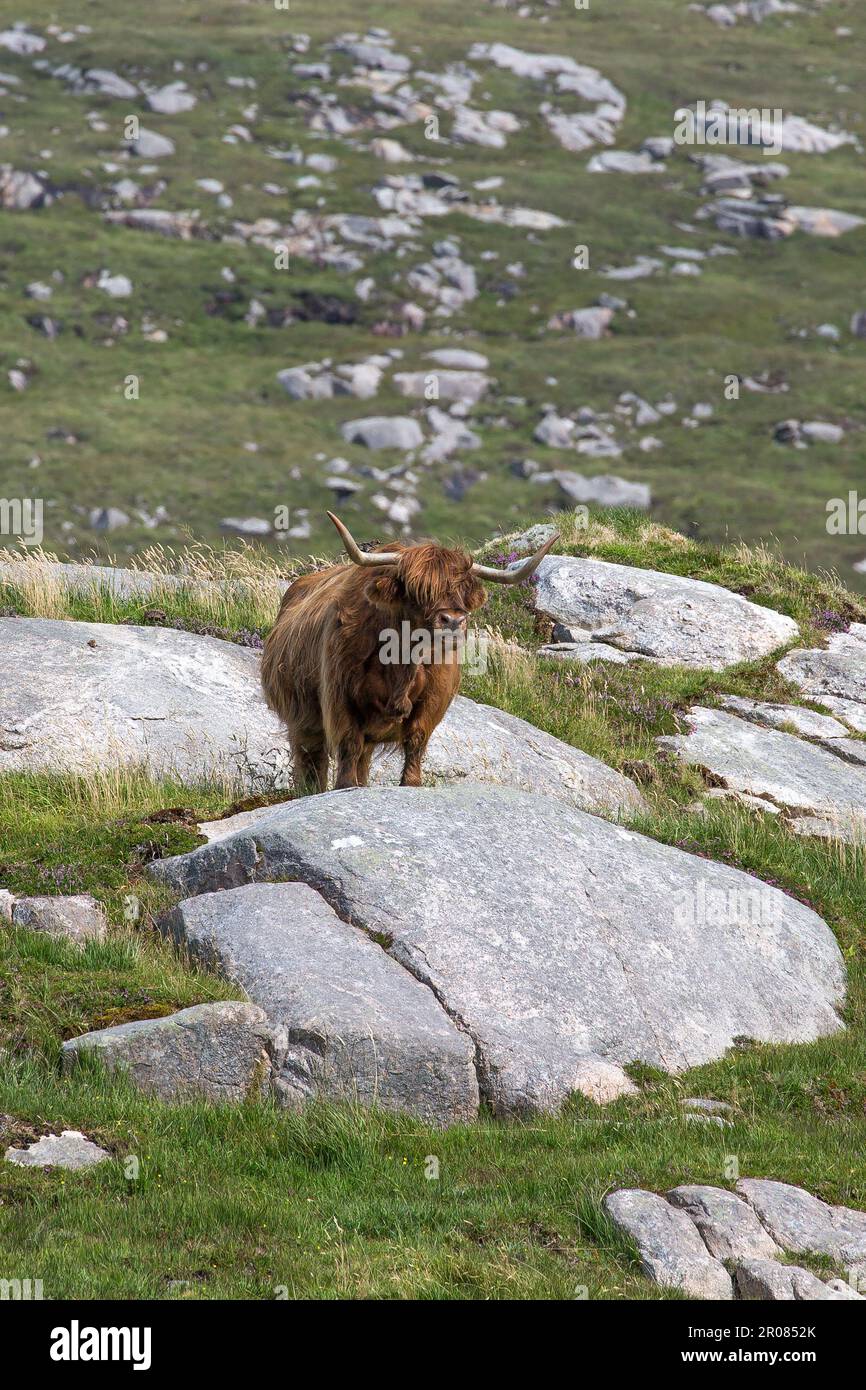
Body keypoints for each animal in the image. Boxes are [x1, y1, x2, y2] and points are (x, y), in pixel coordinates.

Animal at [261, 512, 559, 794]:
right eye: (418, 590)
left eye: (462, 590)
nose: (453, 621)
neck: (401, 659)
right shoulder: (339, 694)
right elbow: (348, 742)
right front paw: (345, 786)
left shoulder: (435, 697)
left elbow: (416, 739)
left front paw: (411, 783)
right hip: (301, 718)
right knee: (312, 760)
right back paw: (310, 790)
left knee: (361, 757)